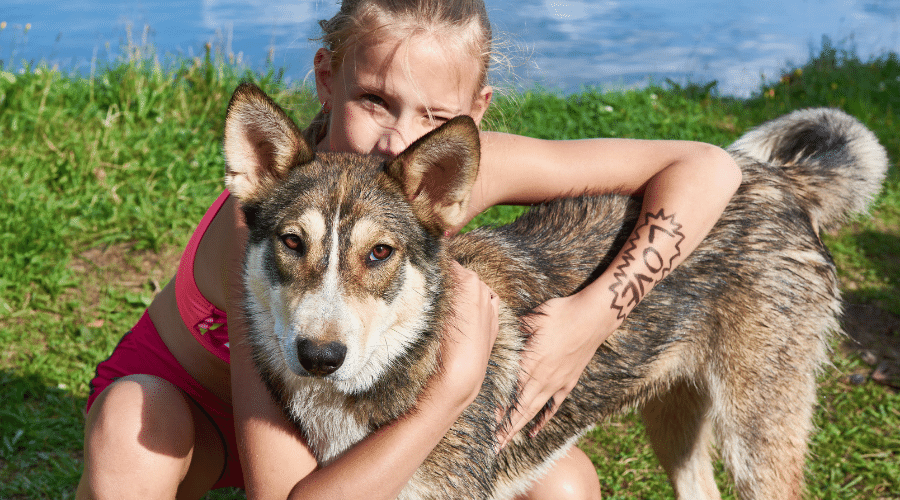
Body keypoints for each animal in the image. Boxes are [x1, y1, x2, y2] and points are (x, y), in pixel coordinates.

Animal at [220, 83, 884, 500]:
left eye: (380, 253)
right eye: (292, 242)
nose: (319, 356)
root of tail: (779, 178)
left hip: (757, 440)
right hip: (673, 422)